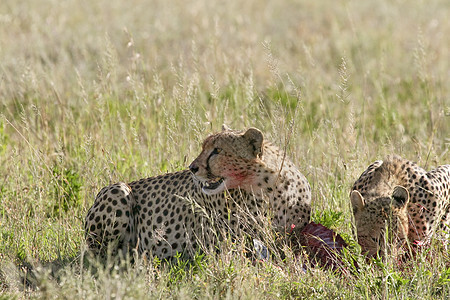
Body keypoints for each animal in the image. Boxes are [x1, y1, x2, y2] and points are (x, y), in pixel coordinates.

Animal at [84, 126, 312, 260]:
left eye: (217, 151)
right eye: (203, 147)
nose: (192, 168)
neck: (270, 187)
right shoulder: (227, 245)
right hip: (118, 190)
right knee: (102, 257)